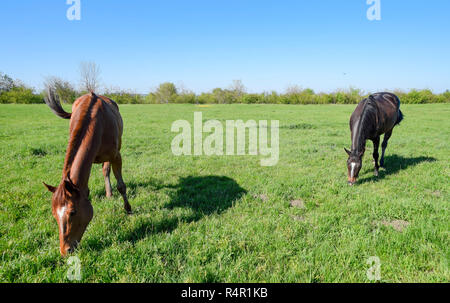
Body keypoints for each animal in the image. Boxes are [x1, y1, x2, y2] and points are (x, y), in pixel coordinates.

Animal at [43, 90, 131, 256]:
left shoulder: (116, 156)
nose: (65, 250)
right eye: (53, 214)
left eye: (72, 212)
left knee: (106, 170)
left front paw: (128, 209)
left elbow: (121, 186)